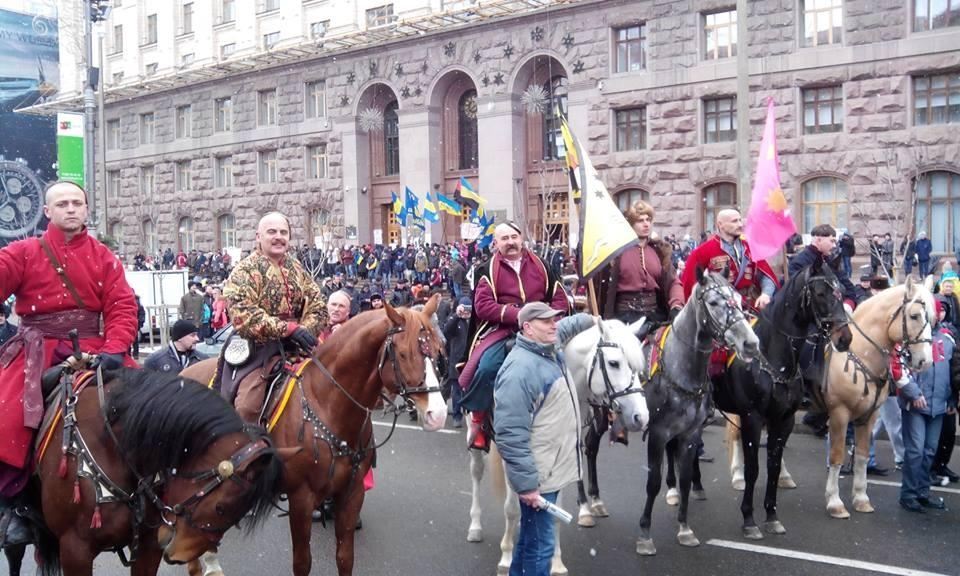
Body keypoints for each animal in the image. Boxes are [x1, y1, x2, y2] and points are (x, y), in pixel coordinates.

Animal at [182, 296, 448, 576]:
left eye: (438, 350)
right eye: (405, 353)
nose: (439, 414)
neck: (326, 404)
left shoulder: (352, 494)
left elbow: (345, 557)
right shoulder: (301, 499)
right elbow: (302, 562)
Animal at [632, 268, 760, 556]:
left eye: (739, 299)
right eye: (713, 302)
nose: (750, 344)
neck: (679, 367)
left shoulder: (689, 433)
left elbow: (686, 478)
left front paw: (684, 529)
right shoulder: (657, 433)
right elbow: (652, 482)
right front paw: (644, 534)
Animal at [712, 258, 856, 536]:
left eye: (841, 291)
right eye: (820, 293)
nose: (844, 338)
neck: (772, 358)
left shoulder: (784, 419)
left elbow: (774, 466)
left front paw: (771, 515)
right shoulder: (753, 418)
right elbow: (753, 469)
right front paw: (749, 519)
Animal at [820, 278, 932, 516]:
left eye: (932, 319)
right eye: (914, 316)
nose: (925, 362)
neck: (859, 355)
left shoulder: (868, 416)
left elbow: (862, 456)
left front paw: (861, 498)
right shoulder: (839, 414)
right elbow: (836, 456)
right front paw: (835, 502)